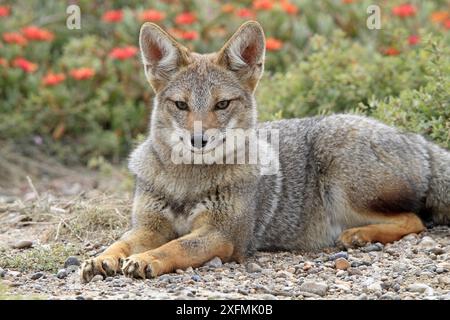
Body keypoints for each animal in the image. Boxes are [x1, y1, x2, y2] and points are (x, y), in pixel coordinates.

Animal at [81, 21, 450, 282]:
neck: (187, 182)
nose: (198, 140)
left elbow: (177, 245)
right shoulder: (149, 226)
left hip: (343, 180)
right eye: (181, 105)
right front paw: (102, 258)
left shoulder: (224, 235)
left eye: (222, 104)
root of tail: (418, 140)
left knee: (415, 220)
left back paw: (359, 235)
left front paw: (146, 260)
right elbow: (121, 241)